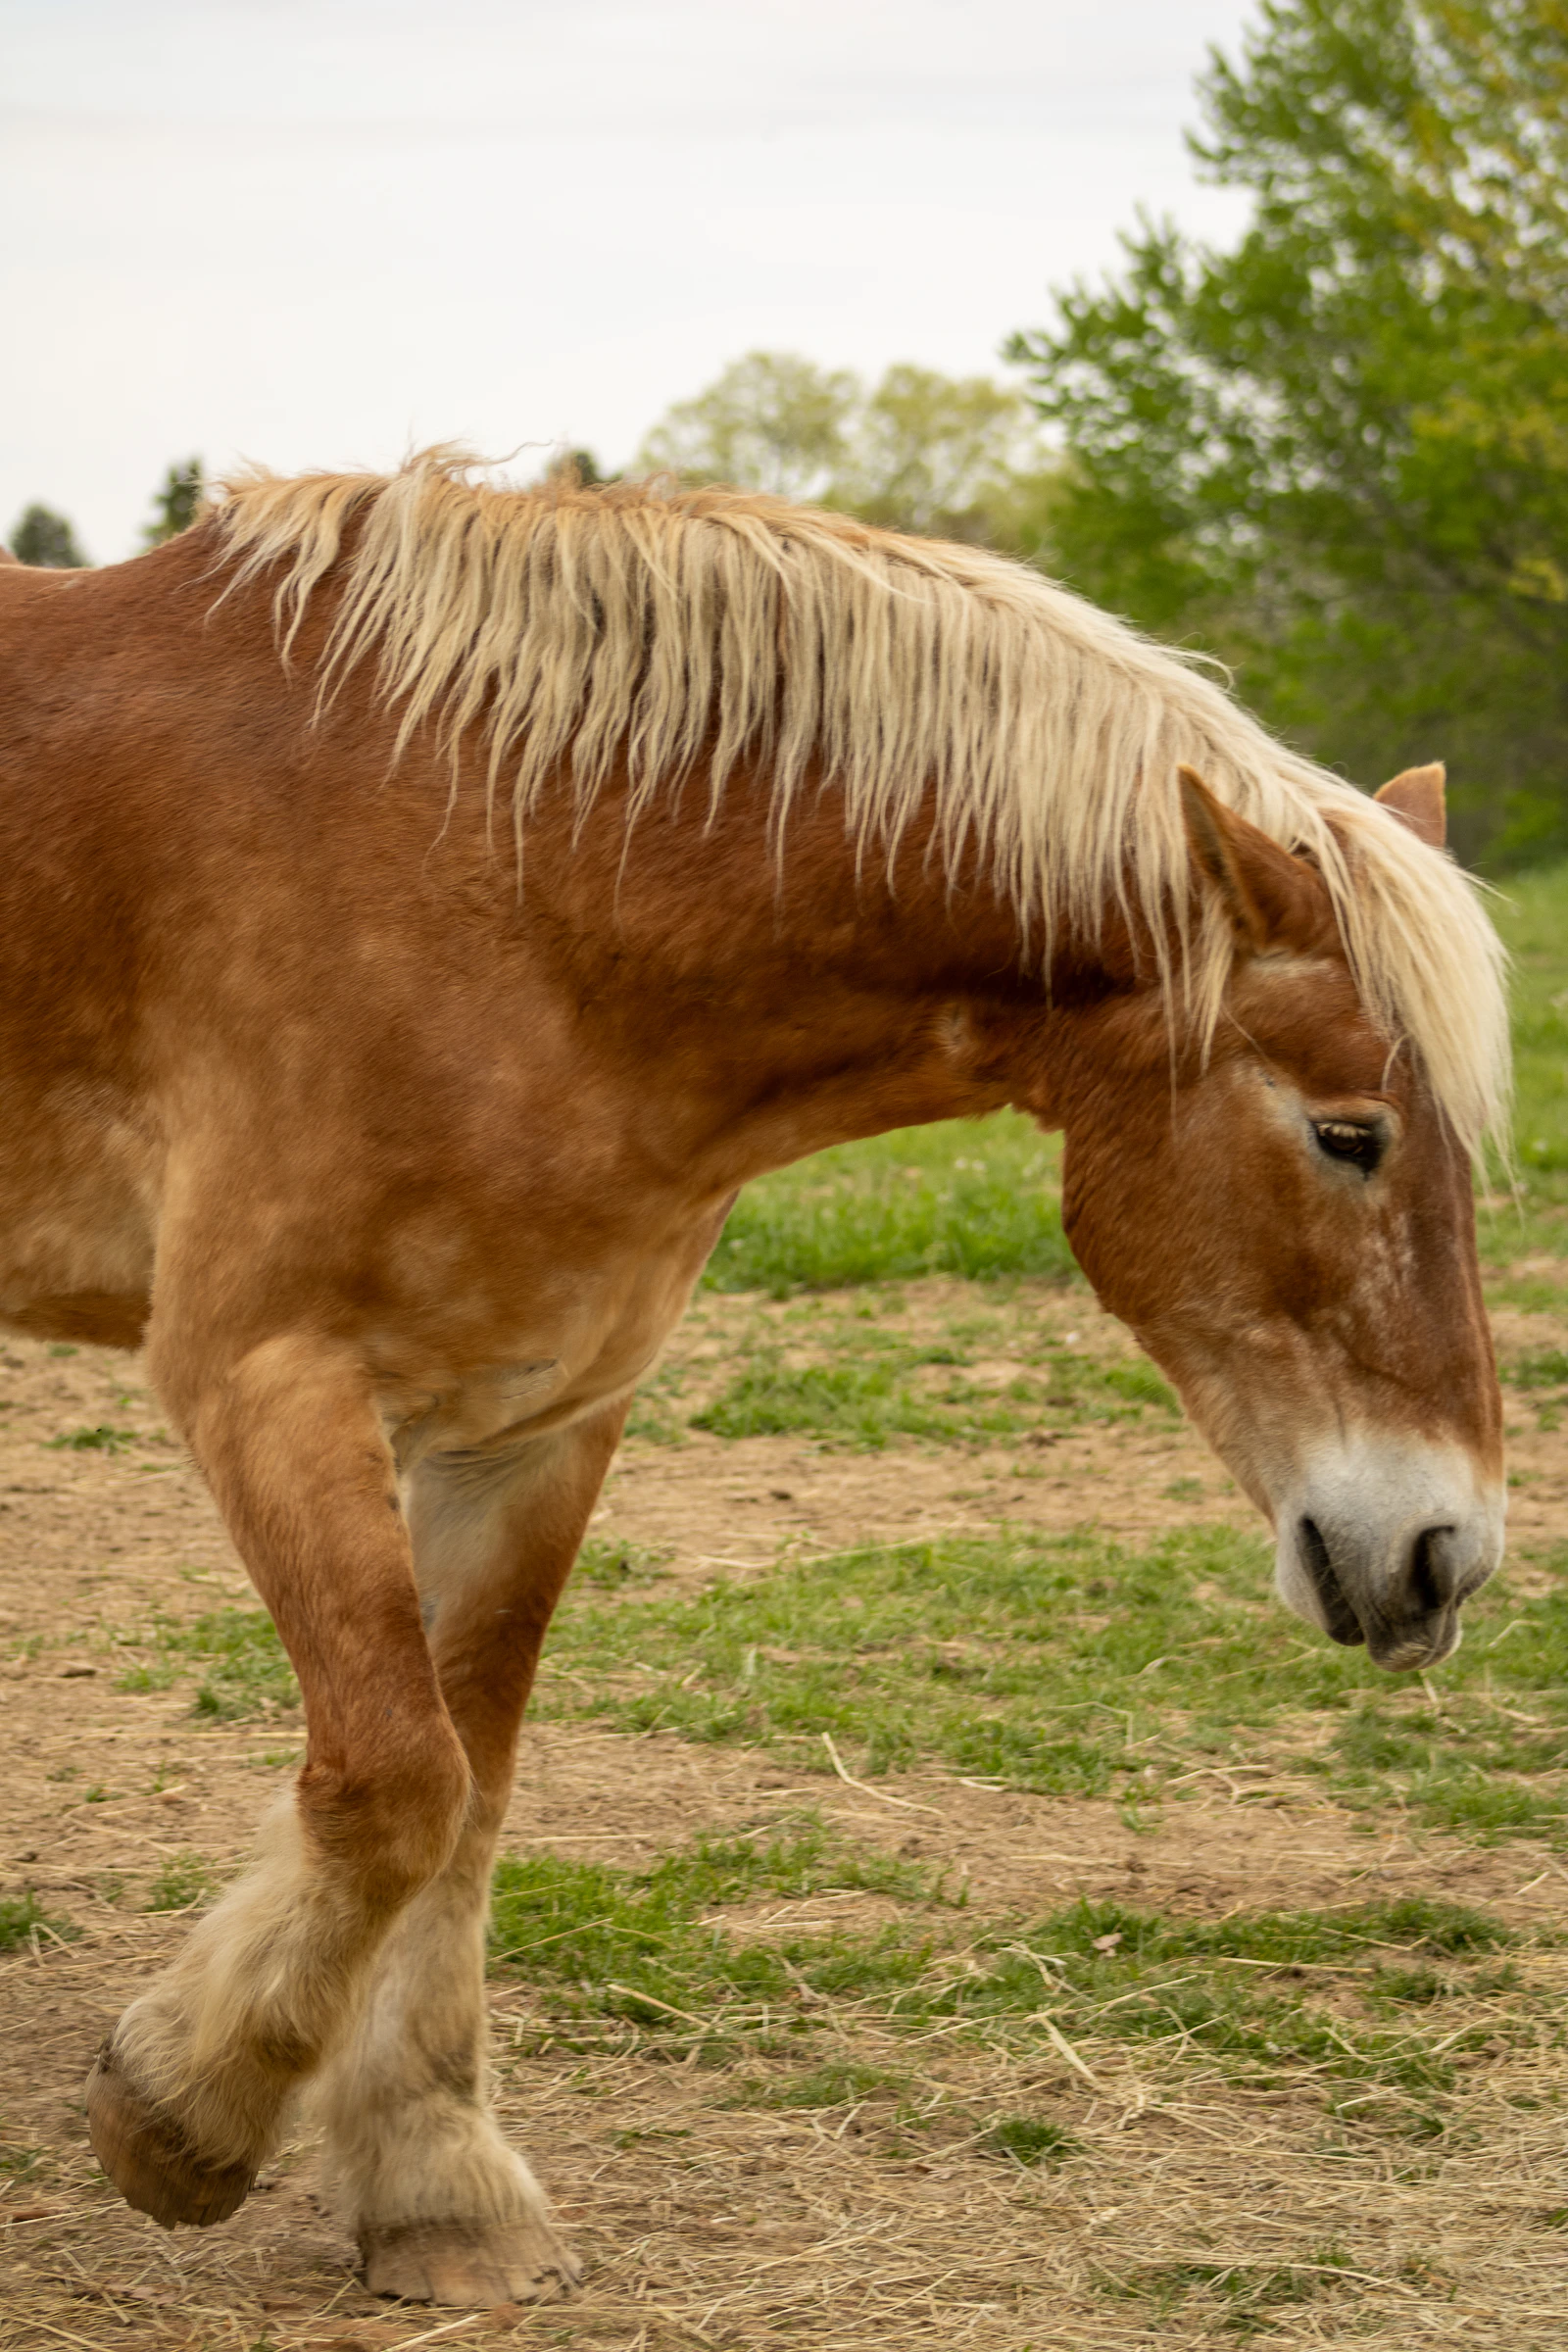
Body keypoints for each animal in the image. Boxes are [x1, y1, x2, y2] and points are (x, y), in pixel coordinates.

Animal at [0, 452, 1508, 2305]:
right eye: (1348, 1135)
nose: (1446, 1558)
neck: (510, 880)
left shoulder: (540, 1421)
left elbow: (469, 1784)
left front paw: (432, 2180)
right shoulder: (262, 1377)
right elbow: (393, 1780)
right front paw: (184, 2114)